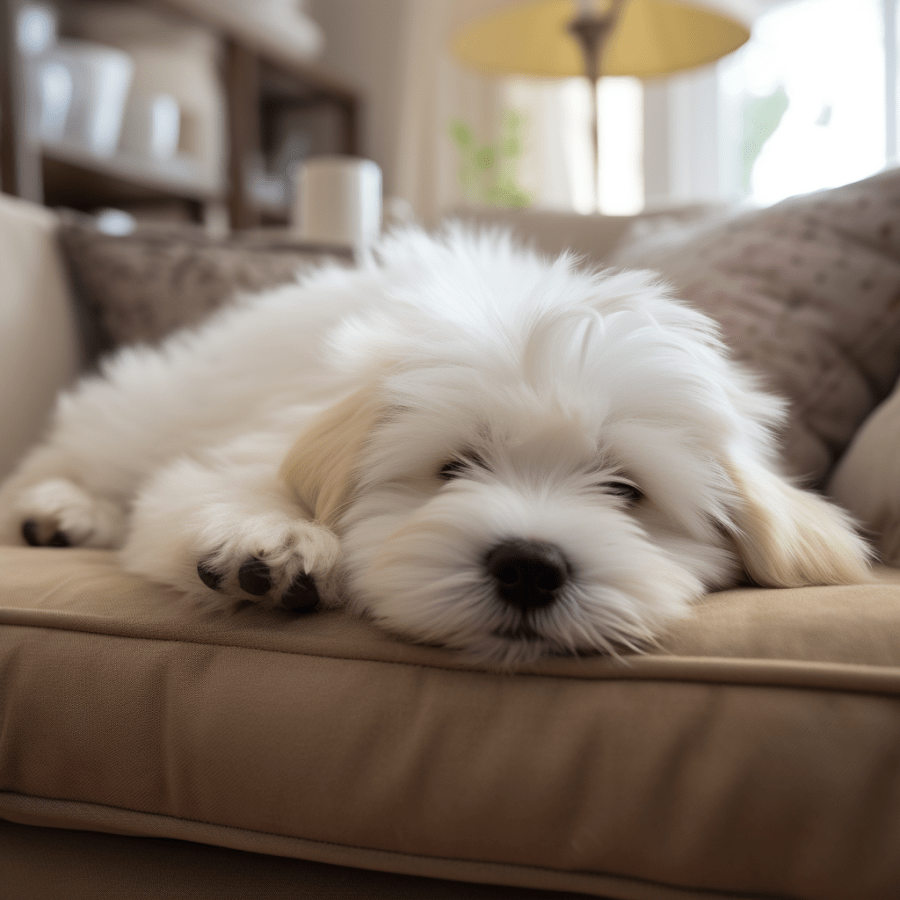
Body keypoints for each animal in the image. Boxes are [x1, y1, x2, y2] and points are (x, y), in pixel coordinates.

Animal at [0, 221, 872, 664]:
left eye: (627, 491)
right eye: (454, 467)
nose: (529, 566)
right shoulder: (250, 438)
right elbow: (208, 488)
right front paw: (269, 539)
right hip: (150, 406)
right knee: (77, 449)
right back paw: (57, 511)